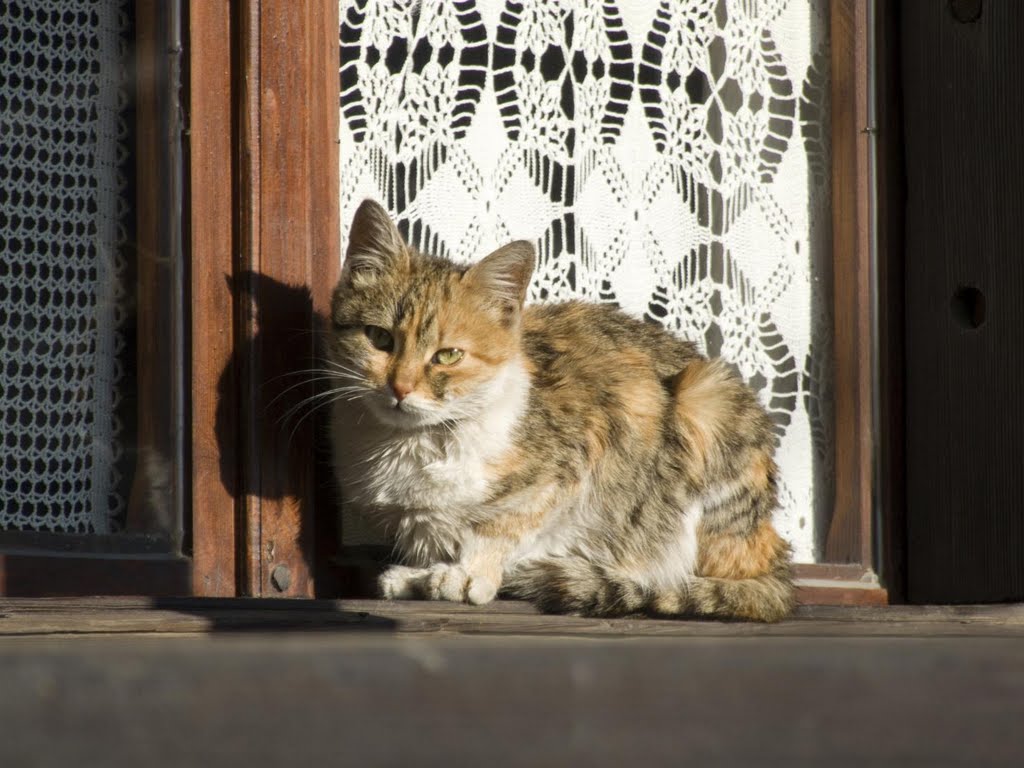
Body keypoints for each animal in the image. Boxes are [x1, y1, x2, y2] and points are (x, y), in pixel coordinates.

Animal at [325, 201, 790, 622]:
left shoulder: (582, 451)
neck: (417, 442)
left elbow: (500, 526)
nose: (400, 387)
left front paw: (468, 573)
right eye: (379, 338)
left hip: (707, 400)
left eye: (448, 355)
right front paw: (417, 577)